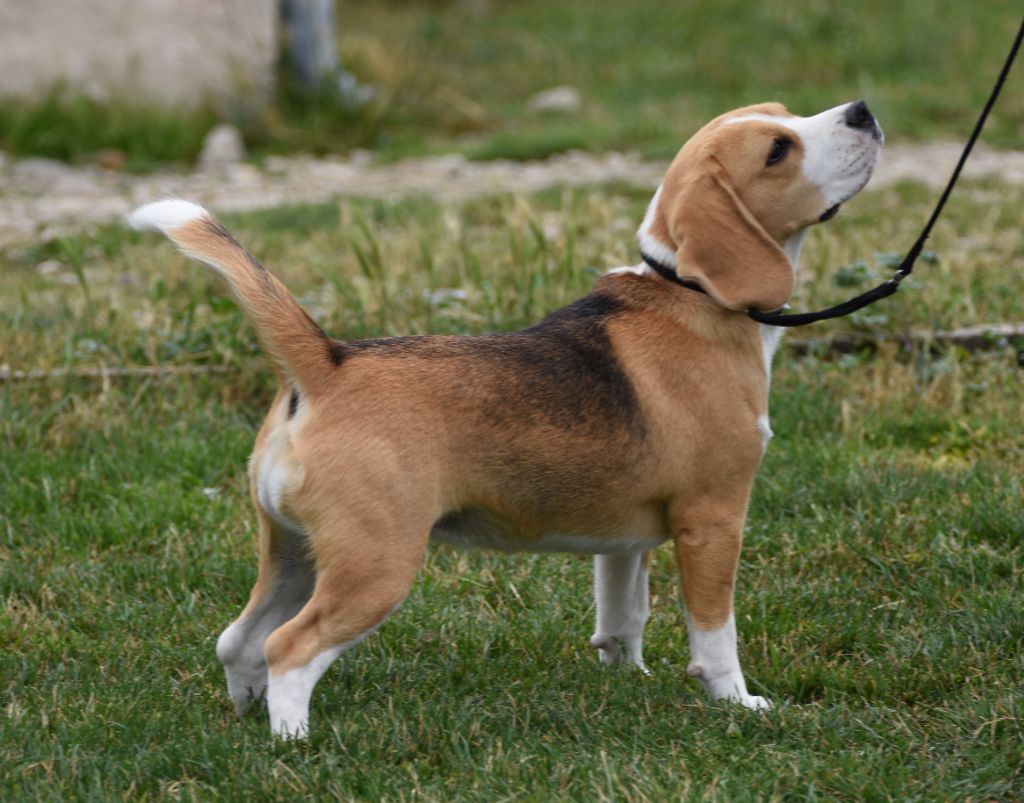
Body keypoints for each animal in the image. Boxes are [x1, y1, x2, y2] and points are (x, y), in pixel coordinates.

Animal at [128, 97, 880, 737]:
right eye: (778, 150)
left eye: (787, 114)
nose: (863, 111)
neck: (687, 289)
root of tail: (328, 362)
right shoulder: (714, 518)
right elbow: (715, 630)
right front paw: (736, 701)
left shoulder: (626, 540)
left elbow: (623, 613)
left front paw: (626, 679)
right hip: (376, 564)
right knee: (289, 646)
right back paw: (293, 740)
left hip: (294, 552)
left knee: (240, 639)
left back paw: (247, 717)